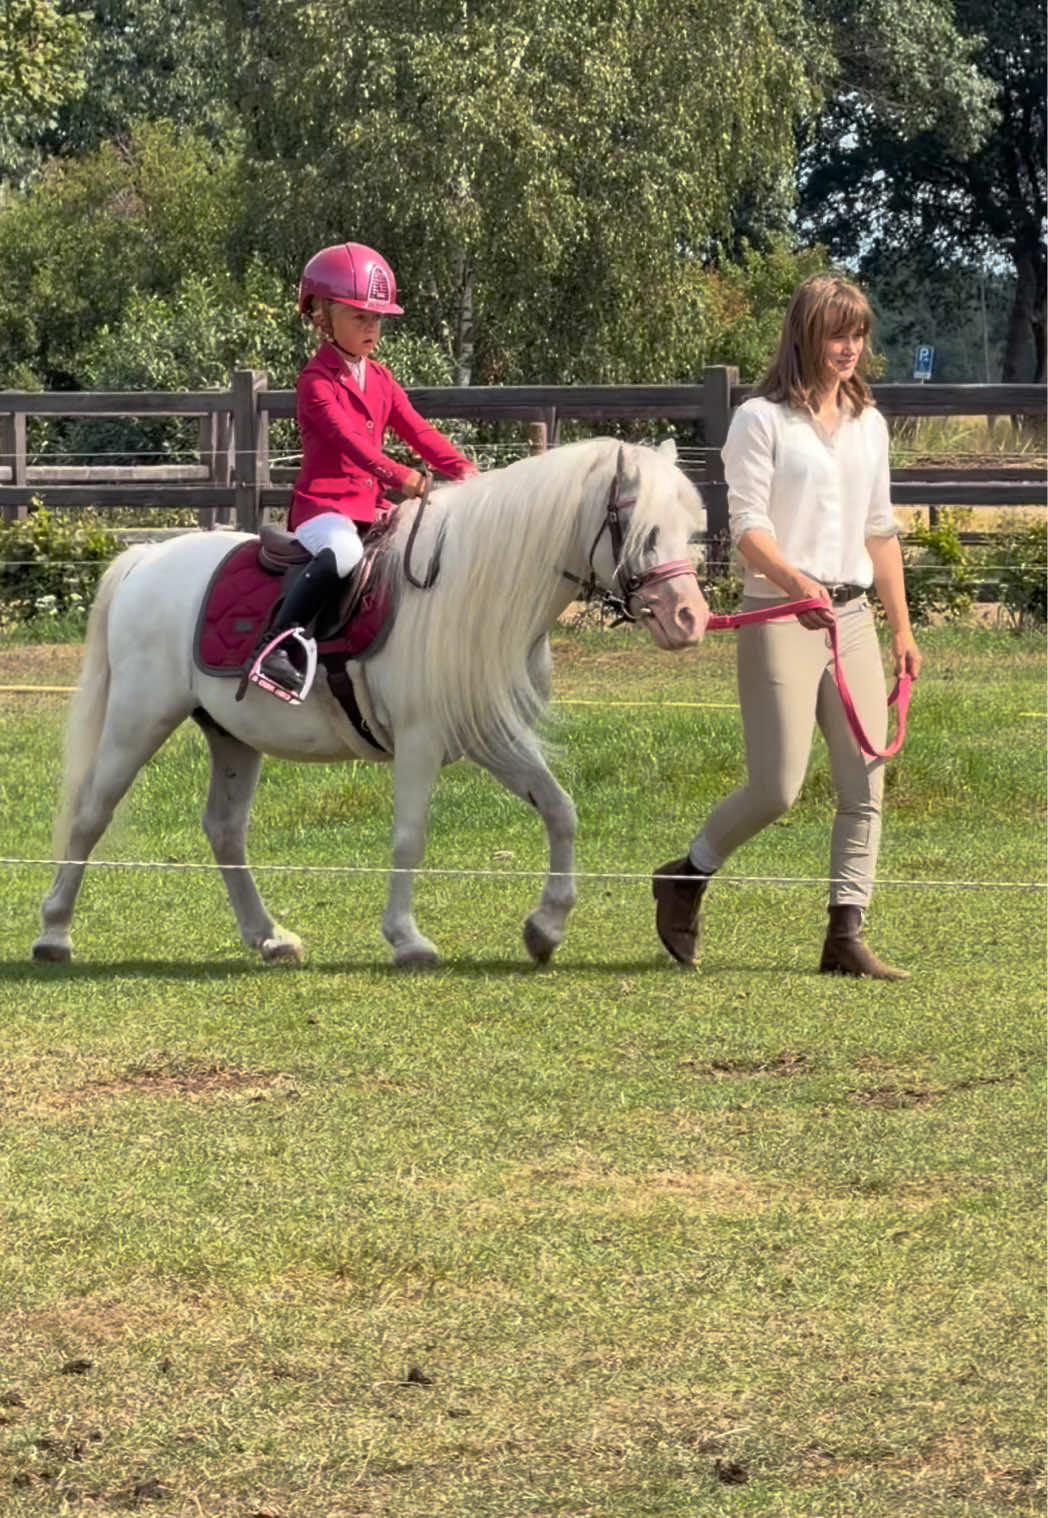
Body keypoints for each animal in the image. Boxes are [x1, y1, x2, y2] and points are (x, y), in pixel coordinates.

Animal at [32, 437, 709, 969]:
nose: (690, 619)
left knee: (224, 831)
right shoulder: (419, 739)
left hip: (232, 735)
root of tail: (148, 555)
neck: (471, 588)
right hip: (138, 719)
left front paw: (545, 928)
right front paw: (407, 940)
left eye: (690, 530)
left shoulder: (489, 736)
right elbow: (410, 836)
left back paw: (268, 938)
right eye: (645, 531)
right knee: (92, 812)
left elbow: (560, 810)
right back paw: (54, 933)